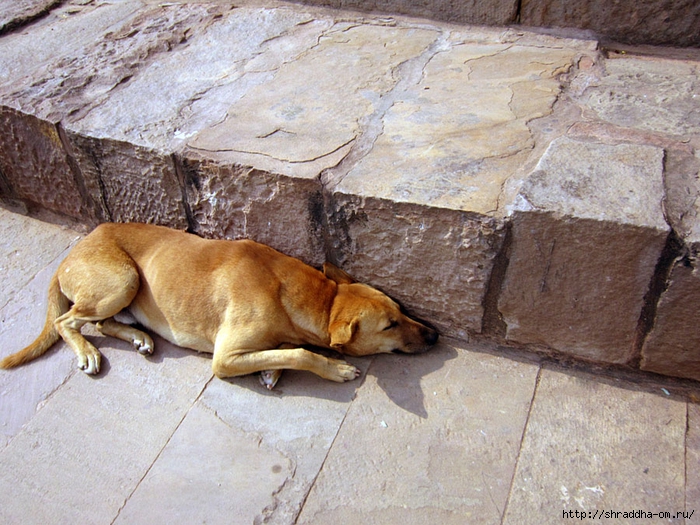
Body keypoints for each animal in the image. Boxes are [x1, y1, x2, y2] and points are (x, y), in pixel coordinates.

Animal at [1, 223, 438, 386]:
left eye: (401, 310)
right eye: (389, 325)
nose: (434, 335)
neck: (321, 299)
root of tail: (71, 252)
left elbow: (285, 349)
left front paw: (271, 368)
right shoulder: (224, 358)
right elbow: (300, 353)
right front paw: (333, 368)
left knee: (100, 323)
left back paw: (137, 336)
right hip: (122, 280)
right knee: (67, 322)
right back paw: (88, 351)